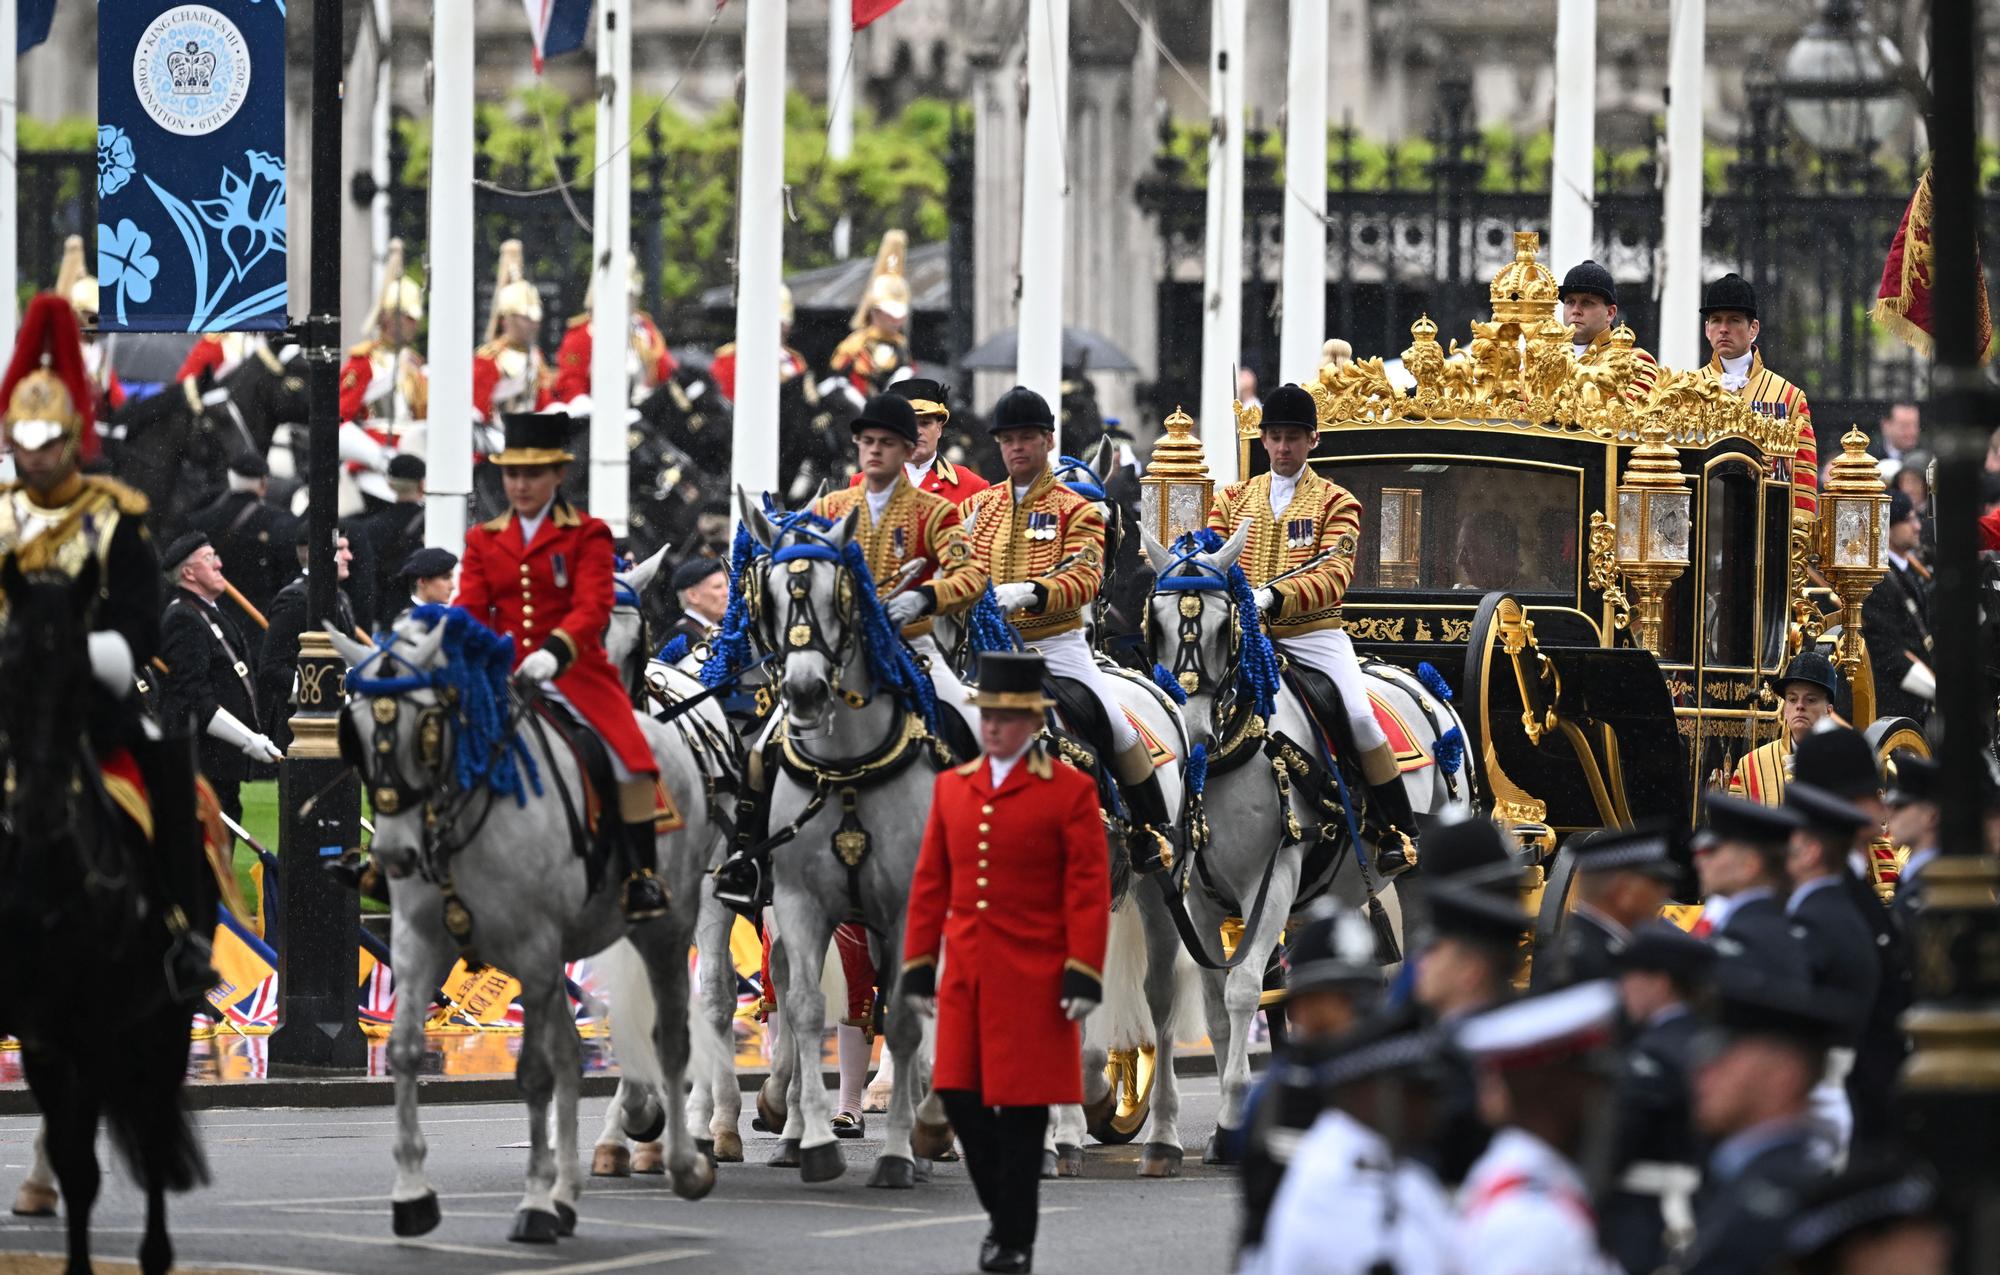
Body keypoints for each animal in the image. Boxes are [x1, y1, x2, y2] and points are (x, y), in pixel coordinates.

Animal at [0, 559, 211, 1275]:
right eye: (9, 666)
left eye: (76, 676)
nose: (35, 806)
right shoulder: (40, 1030)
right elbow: (72, 1156)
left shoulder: (90, 1026)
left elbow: (85, 1167)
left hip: (164, 1020)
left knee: (151, 1132)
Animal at [328, 619, 728, 1247]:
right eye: (357, 732)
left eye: (427, 729)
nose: (392, 854)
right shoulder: (420, 944)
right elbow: (406, 1050)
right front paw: (413, 1193)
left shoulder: (536, 950)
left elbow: (538, 1072)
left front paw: (536, 1200)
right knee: (578, 1045)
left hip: (668, 925)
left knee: (674, 1033)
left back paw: (687, 1159)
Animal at [1144, 523, 1472, 1167]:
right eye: (1160, 622)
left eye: (1225, 628)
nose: (1193, 738)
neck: (1235, 754)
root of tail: (1424, 681)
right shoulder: (1201, 898)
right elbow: (1218, 1004)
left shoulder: (1271, 879)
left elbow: (1245, 991)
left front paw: (1230, 1122)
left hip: (1422, 870)